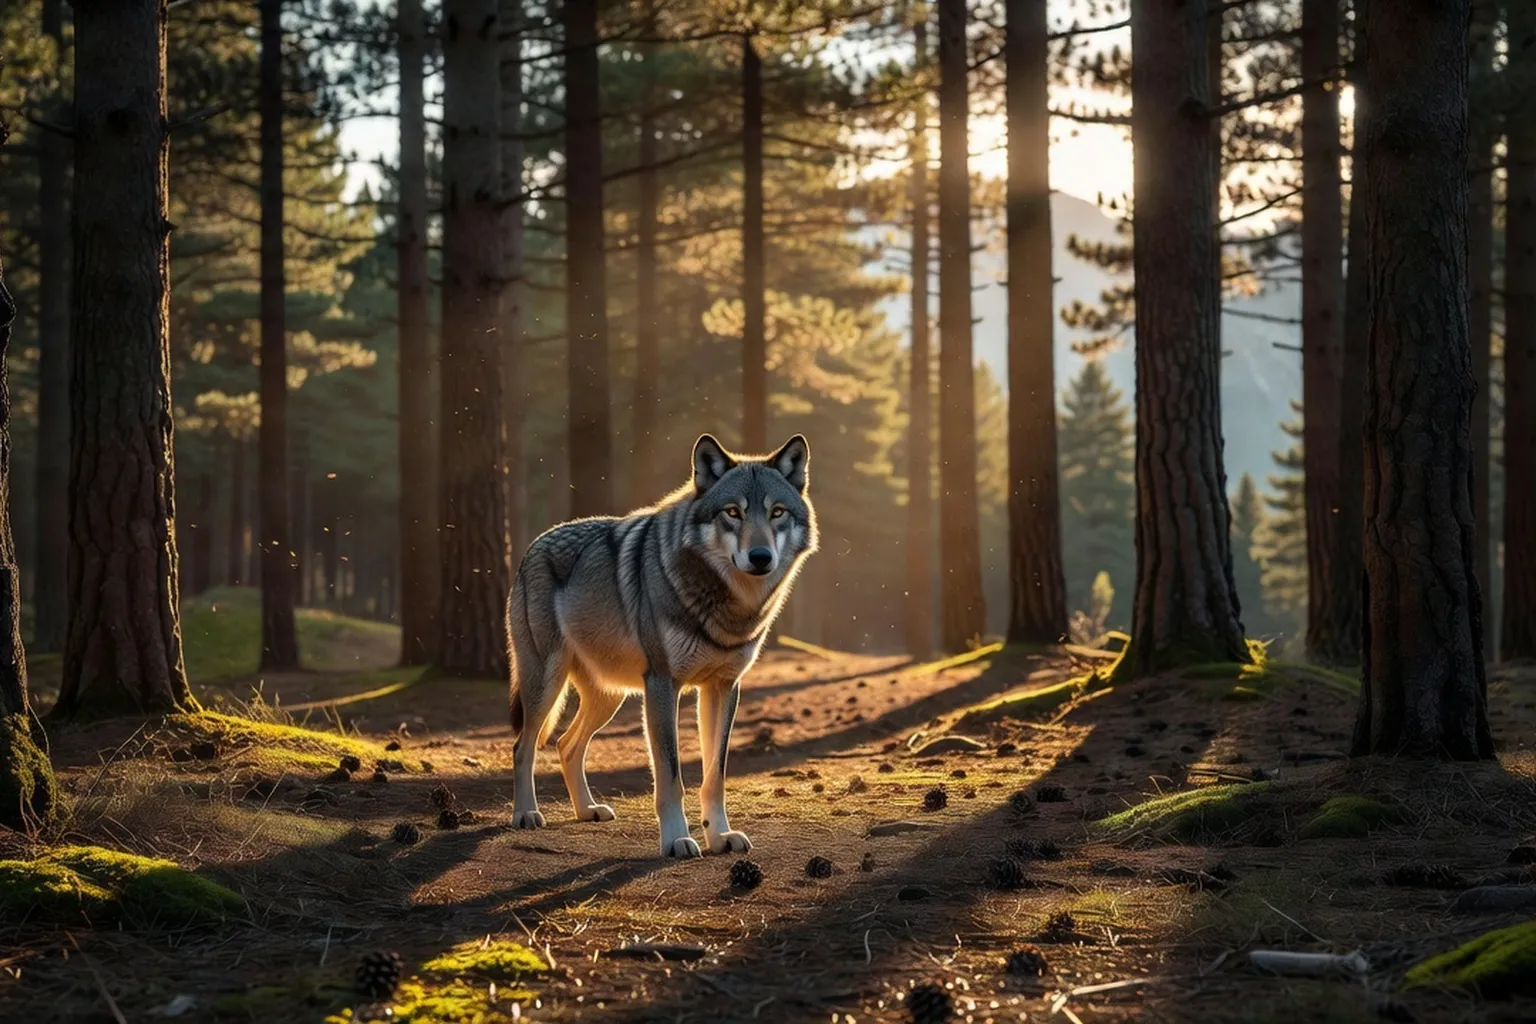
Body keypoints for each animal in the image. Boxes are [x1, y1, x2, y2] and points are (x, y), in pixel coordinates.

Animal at [506, 433, 817, 858]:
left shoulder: (723, 687)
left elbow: (714, 775)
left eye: (777, 512)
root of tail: (533, 545)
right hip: (546, 684)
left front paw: (720, 836)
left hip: (610, 696)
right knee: (523, 746)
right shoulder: (662, 685)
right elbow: (671, 776)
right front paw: (677, 839)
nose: (760, 557)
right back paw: (526, 814)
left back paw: (587, 810)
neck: (726, 605)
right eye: (733, 512)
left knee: (567, 744)